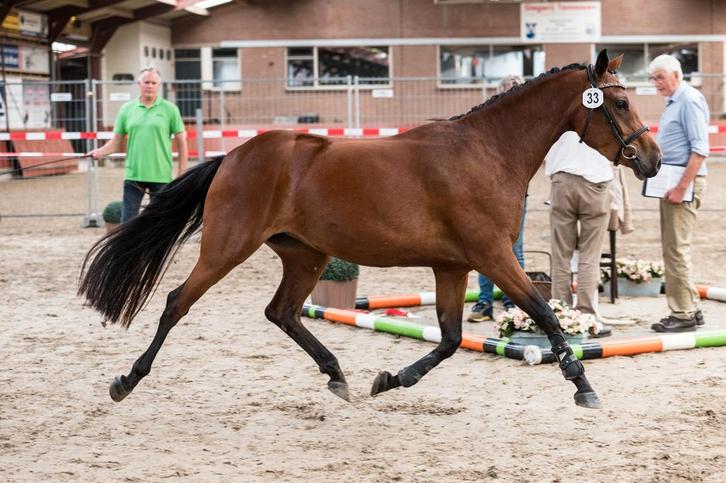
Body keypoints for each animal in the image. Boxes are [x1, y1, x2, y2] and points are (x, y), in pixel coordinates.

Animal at [79, 50, 661, 410]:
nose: (653, 160)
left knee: (281, 312)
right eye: (621, 102)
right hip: (228, 248)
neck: (487, 151)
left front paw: (389, 380)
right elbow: (544, 313)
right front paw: (582, 385)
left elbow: (450, 340)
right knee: (177, 302)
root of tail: (235, 156)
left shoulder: (452, 266)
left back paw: (337, 374)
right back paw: (126, 380)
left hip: (305, 255)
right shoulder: (493, 255)